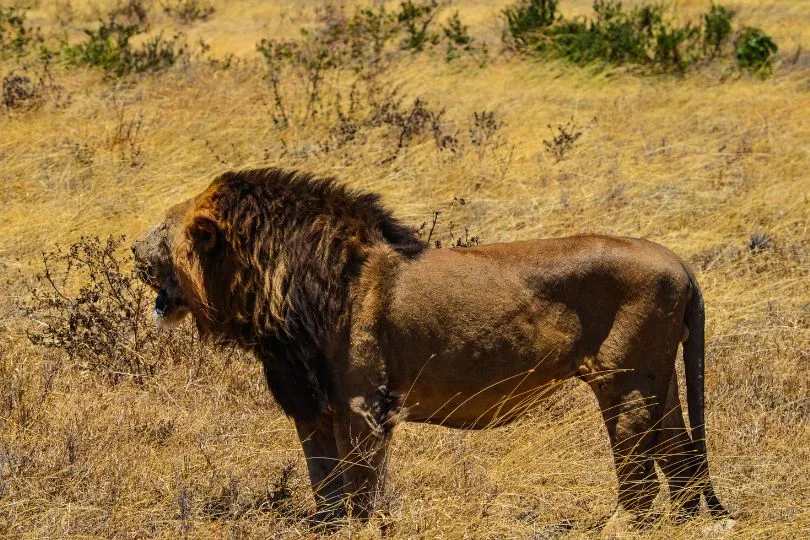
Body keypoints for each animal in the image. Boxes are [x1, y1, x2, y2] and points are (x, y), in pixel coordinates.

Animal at [131, 168, 724, 528]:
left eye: (162, 228)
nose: (133, 251)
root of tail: (679, 262)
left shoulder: (363, 403)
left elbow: (360, 483)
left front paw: (365, 526)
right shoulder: (311, 405)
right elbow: (324, 482)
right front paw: (327, 526)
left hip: (623, 381)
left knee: (640, 460)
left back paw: (619, 525)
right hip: (659, 378)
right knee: (678, 449)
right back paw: (685, 521)